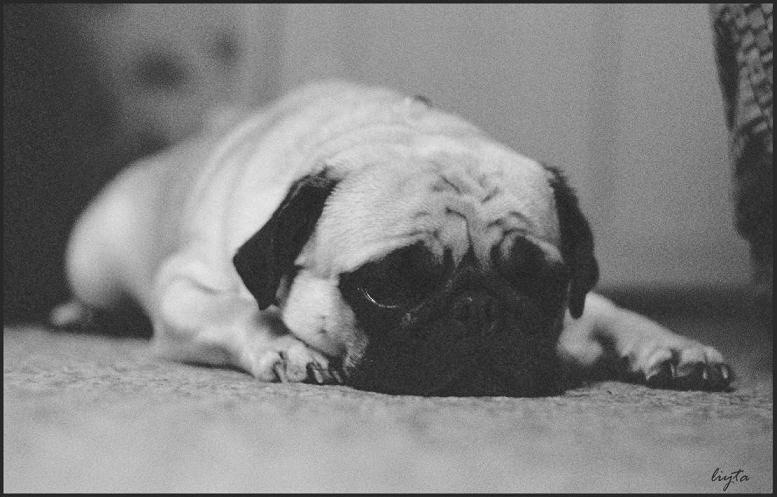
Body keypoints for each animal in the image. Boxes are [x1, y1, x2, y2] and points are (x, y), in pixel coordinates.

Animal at [54, 80, 732, 396]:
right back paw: (80, 314)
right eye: (388, 286)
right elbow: (246, 313)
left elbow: (616, 314)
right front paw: (288, 348)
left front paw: (674, 349)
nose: (478, 309)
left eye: (540, 282)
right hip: (93, 259)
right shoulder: (182, 293)